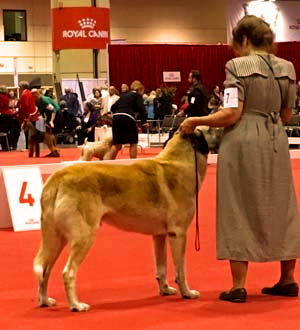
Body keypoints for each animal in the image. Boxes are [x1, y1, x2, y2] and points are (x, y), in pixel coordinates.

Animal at [33, 127, 223, 312]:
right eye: (212, 130)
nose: (224, 131)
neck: (181, 162)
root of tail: (58, 176)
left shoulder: (160, 235)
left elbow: (161, 268)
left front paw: (164, 290)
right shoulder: (178, 234)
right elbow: (180, 270)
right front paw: (187, 293)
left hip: (56, 238)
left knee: (45, 270)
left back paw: (45, 301)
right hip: (83, 236)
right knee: (68, 272)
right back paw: (76, 305)